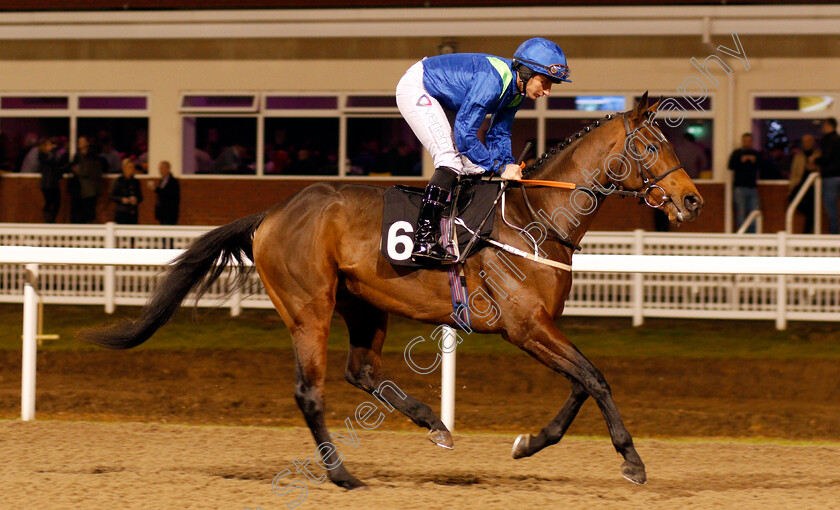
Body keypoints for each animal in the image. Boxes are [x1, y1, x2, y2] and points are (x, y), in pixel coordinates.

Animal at [85, 92, 704, 490]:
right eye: (653, 146)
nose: (692, 200)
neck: (537, 216)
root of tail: (271, 214)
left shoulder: (540, 328)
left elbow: (580, 383)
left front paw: (530, 441)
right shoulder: (525, 327)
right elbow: (594, 378)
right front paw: (632, 462)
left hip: (365, 306)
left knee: (362, 371)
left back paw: (434, 425)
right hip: (310, 308)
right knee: (310, 391)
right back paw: (342, 474)